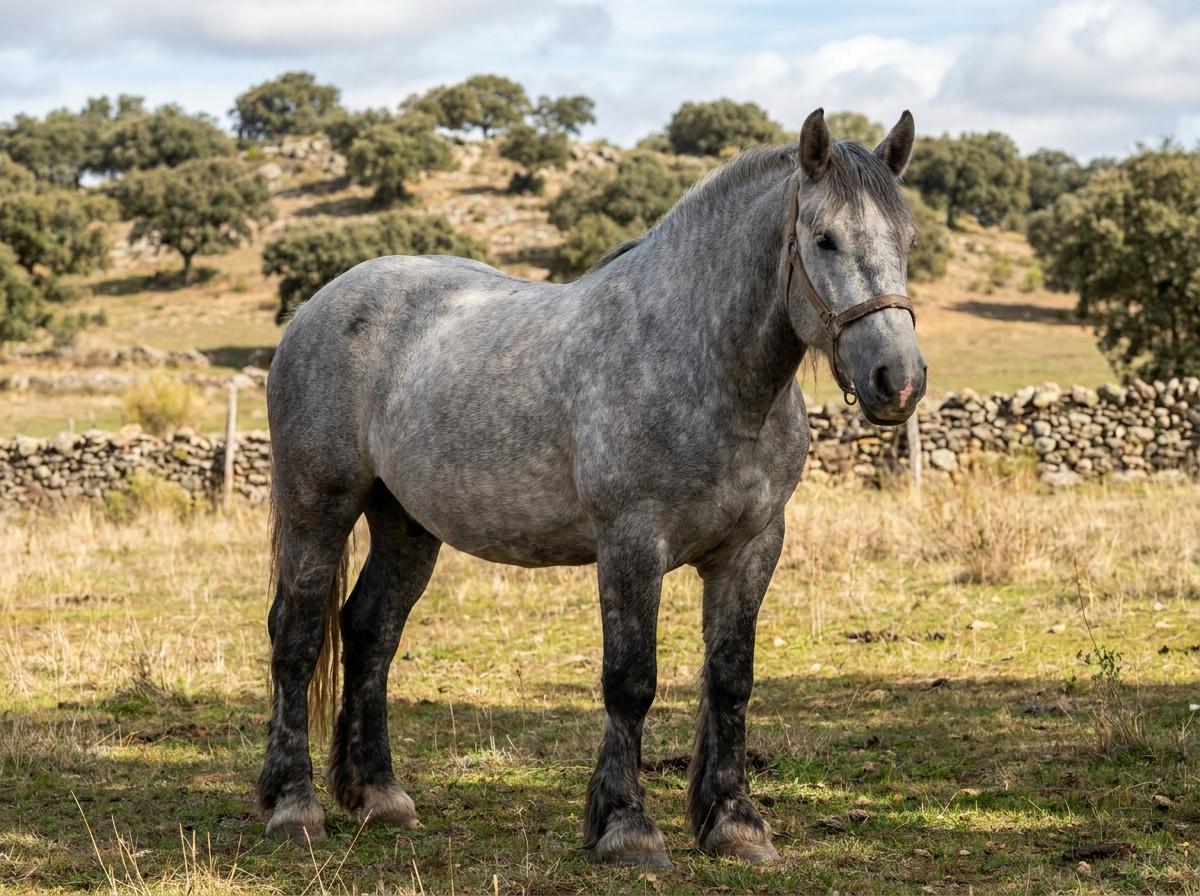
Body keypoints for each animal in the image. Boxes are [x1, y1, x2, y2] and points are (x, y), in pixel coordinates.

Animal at [256, 107, 926, 868]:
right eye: (824, 239)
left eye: (906, 239)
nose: (898, 380)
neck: (703, 361)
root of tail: (318, 304)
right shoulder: (632, 543)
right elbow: (630, 681)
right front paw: (626, 827)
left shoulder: (752, 547)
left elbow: (731, 680)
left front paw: (734, 823)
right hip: (318, 507)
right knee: (297, 636)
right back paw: (294, 807)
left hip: (405, 523)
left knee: (370, 633)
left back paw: (379, 796)